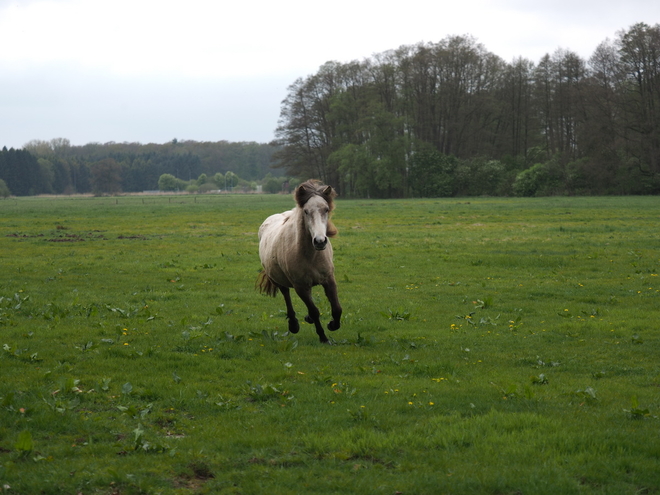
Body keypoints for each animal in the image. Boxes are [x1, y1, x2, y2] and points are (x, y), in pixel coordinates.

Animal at [256, 179, 342, 344]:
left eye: (326, 209)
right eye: (306, 211)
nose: (320, 241)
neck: (310, 255)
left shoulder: (329, 280)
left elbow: (337, 308)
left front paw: (332, 325)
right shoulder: (300, 286)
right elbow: (314, 311)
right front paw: (323, 337)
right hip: (278, 279)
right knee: (286, 295)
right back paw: (293, 324)